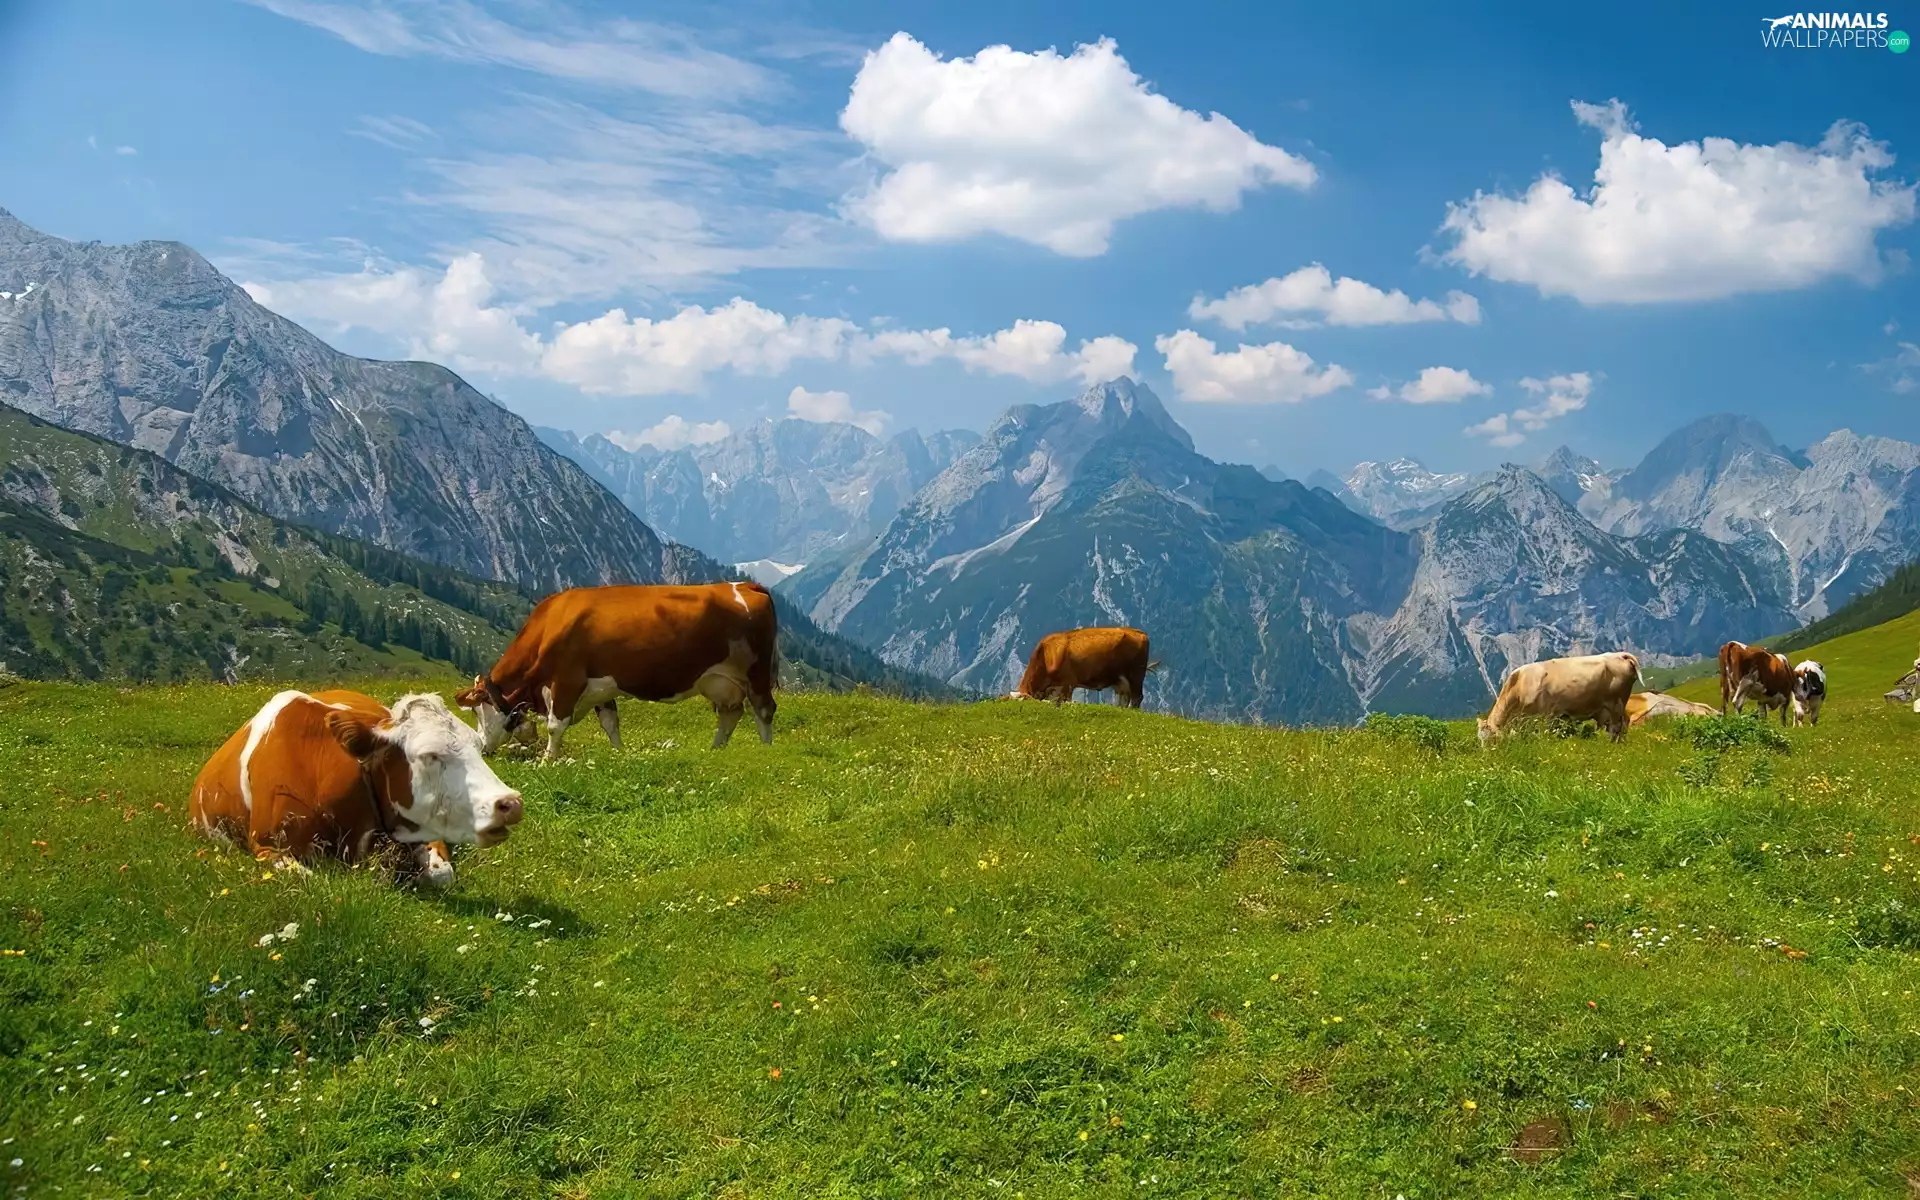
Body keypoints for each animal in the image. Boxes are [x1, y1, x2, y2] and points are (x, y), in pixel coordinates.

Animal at [456, 581, 778, 760]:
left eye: (478, 712)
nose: (481, 748)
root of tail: (746, 585)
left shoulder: (567, 679)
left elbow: (555, 725)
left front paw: (548, 760)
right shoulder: (599, 688)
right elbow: (610, 724)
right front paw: (620, 754)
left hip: (756, 671)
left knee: (763, 709)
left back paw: (766, 752)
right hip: (719, 680)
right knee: (731, 713)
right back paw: (715, 749)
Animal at [1008, 627, 1158, 708]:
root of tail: (1139, 632)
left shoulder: (1067, 683)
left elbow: (1064, 702)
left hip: (1136, 675)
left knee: (1137, 698)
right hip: (1120, 680)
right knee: (1124, 698)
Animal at [1477, 652, 1640, 745]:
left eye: (1491, 740)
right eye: (1480, 740)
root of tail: (1621, 654)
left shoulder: (1546, 716)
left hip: (1616, 704)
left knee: (1617, 727)